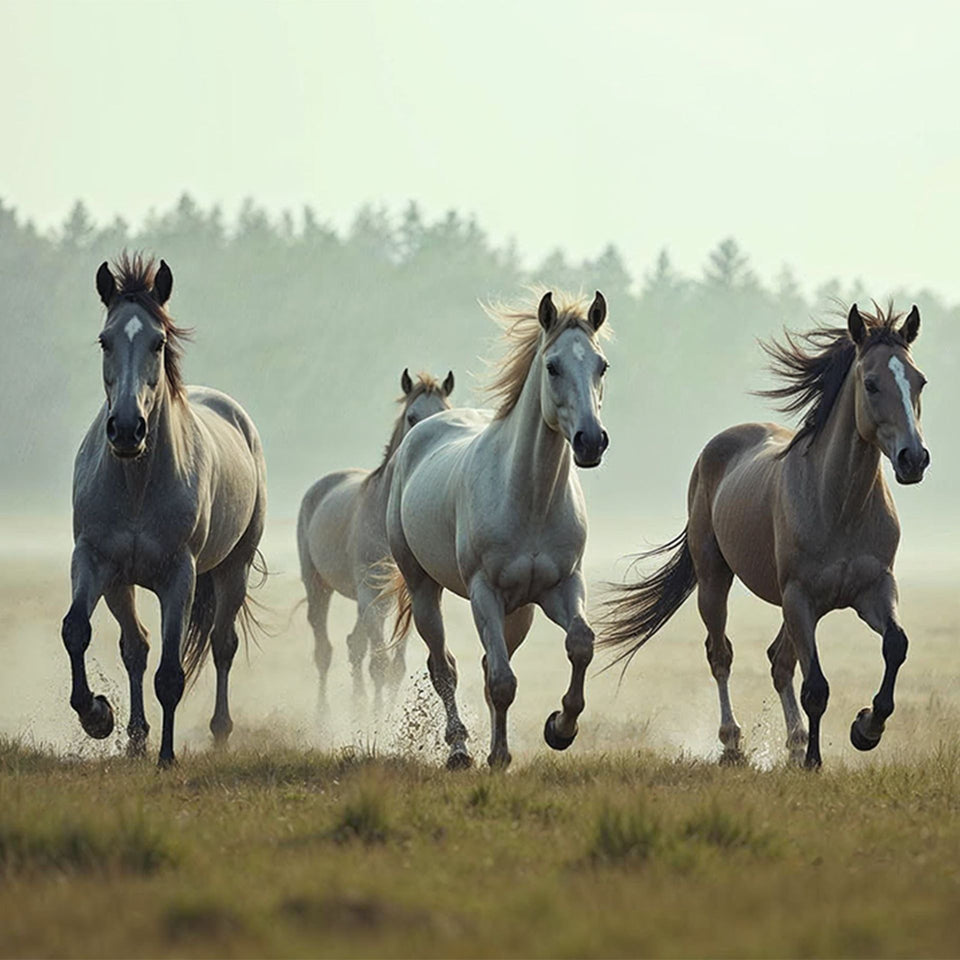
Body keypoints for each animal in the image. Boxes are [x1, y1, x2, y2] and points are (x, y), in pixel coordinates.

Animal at [61, 253, 267, 767]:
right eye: (105, 340)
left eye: (158, 341)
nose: (126, 429)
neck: (137, 485)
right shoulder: (96, 561)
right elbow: (78, 631)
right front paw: (98, 715)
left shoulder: (180, 575)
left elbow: (171, 673)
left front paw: (168, 756)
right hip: (123, 583)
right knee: (135, 647)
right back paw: (136, 737)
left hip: (232, 569)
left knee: (221, 646)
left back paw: (219, 731)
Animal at [297, 368, 454, 713]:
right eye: (411, 416)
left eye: (445, 411)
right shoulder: (371, 593)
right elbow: (379, 664)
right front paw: (379, 718)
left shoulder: (405, 594)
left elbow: (394, 667)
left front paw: (384, 714)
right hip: (319, 587)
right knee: (324, 651)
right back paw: (323, 716)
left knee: (354, 645)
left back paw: (358, 705)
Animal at [384, 290, 610, 769]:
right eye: (552, 366)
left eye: (602, 365)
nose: (590, 441)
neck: (530, 499)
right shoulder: (483, 592)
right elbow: (502, 681)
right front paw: (499, 756)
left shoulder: (561, 586)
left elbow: (580, 644)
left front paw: (560, 728)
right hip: (424, 589)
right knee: (444, 668)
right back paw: (459, 749)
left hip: (518, 611)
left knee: (489, 665)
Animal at [600, 304, 929, 768]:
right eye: (871, 383)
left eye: (919, 381)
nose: (913, 459)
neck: (839, 505)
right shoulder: (799, 598)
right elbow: (816, 687)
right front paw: (814, 761)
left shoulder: (873, 590)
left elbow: (895, 646)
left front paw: (866, 728)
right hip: (716, 581)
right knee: (721, 654)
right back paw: (733, 743)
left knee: (779, 661)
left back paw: (793, 741)